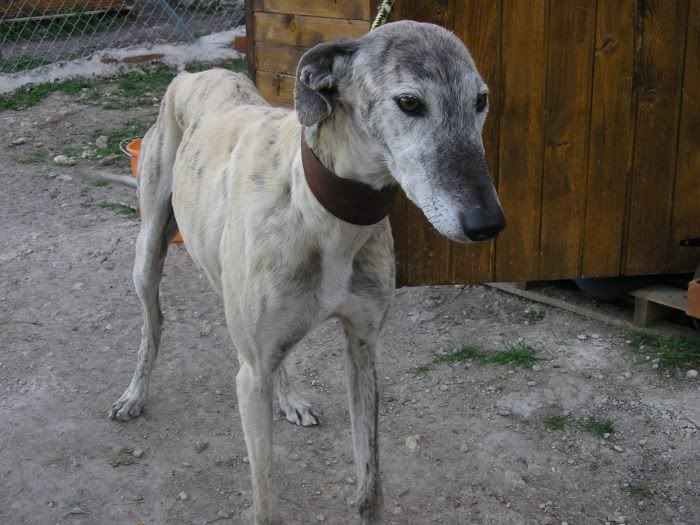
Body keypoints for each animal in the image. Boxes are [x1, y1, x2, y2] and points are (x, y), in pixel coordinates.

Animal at [108, 20, 504, 524]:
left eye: (481, 101)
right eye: (410, 103)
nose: (488, 223)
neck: (322, 211)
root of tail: (197, 73)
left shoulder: (363, 348)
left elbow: (371, 486)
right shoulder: (250, 378)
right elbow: (266, 503)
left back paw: (290, 398)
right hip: (148, 252)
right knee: (154, 324)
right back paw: (134, 394)